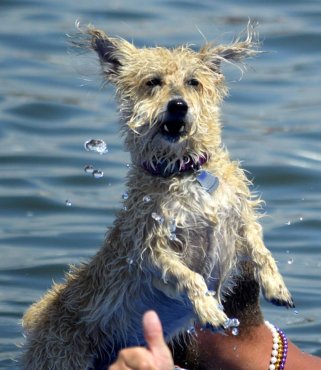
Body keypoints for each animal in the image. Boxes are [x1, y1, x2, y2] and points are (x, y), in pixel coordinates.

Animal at [21, 23, 292, 370]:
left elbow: (260, 248)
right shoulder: (150, 247)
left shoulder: (239, 215)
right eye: (153, 82)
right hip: (61, 356)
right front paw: (208, 308)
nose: (178, 105)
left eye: (193, 82)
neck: (184, 171)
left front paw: (276, 285)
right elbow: (190, 277)